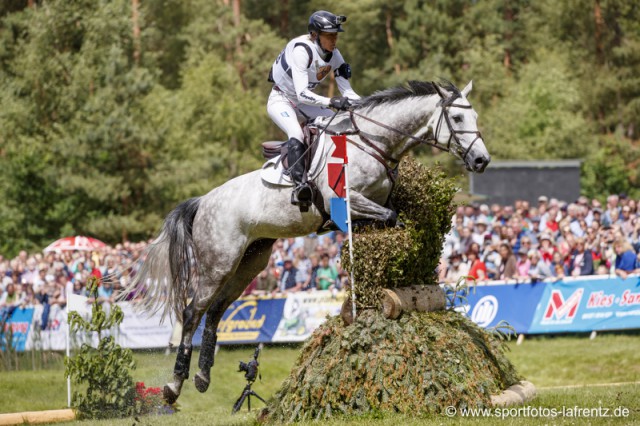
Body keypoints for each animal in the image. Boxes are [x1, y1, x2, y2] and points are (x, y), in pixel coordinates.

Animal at [127, 79, 492, 402]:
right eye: (457, 118)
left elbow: (397, 218)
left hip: (250, 262)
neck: (372, 143)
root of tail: (203, 201)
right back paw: (174, 385)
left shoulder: (370, 208)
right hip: (218, 263)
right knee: (192, 312)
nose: (481, 161)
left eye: (475, 116)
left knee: (215, 311)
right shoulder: (349, 203)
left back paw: (203, 377)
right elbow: (392, 218)